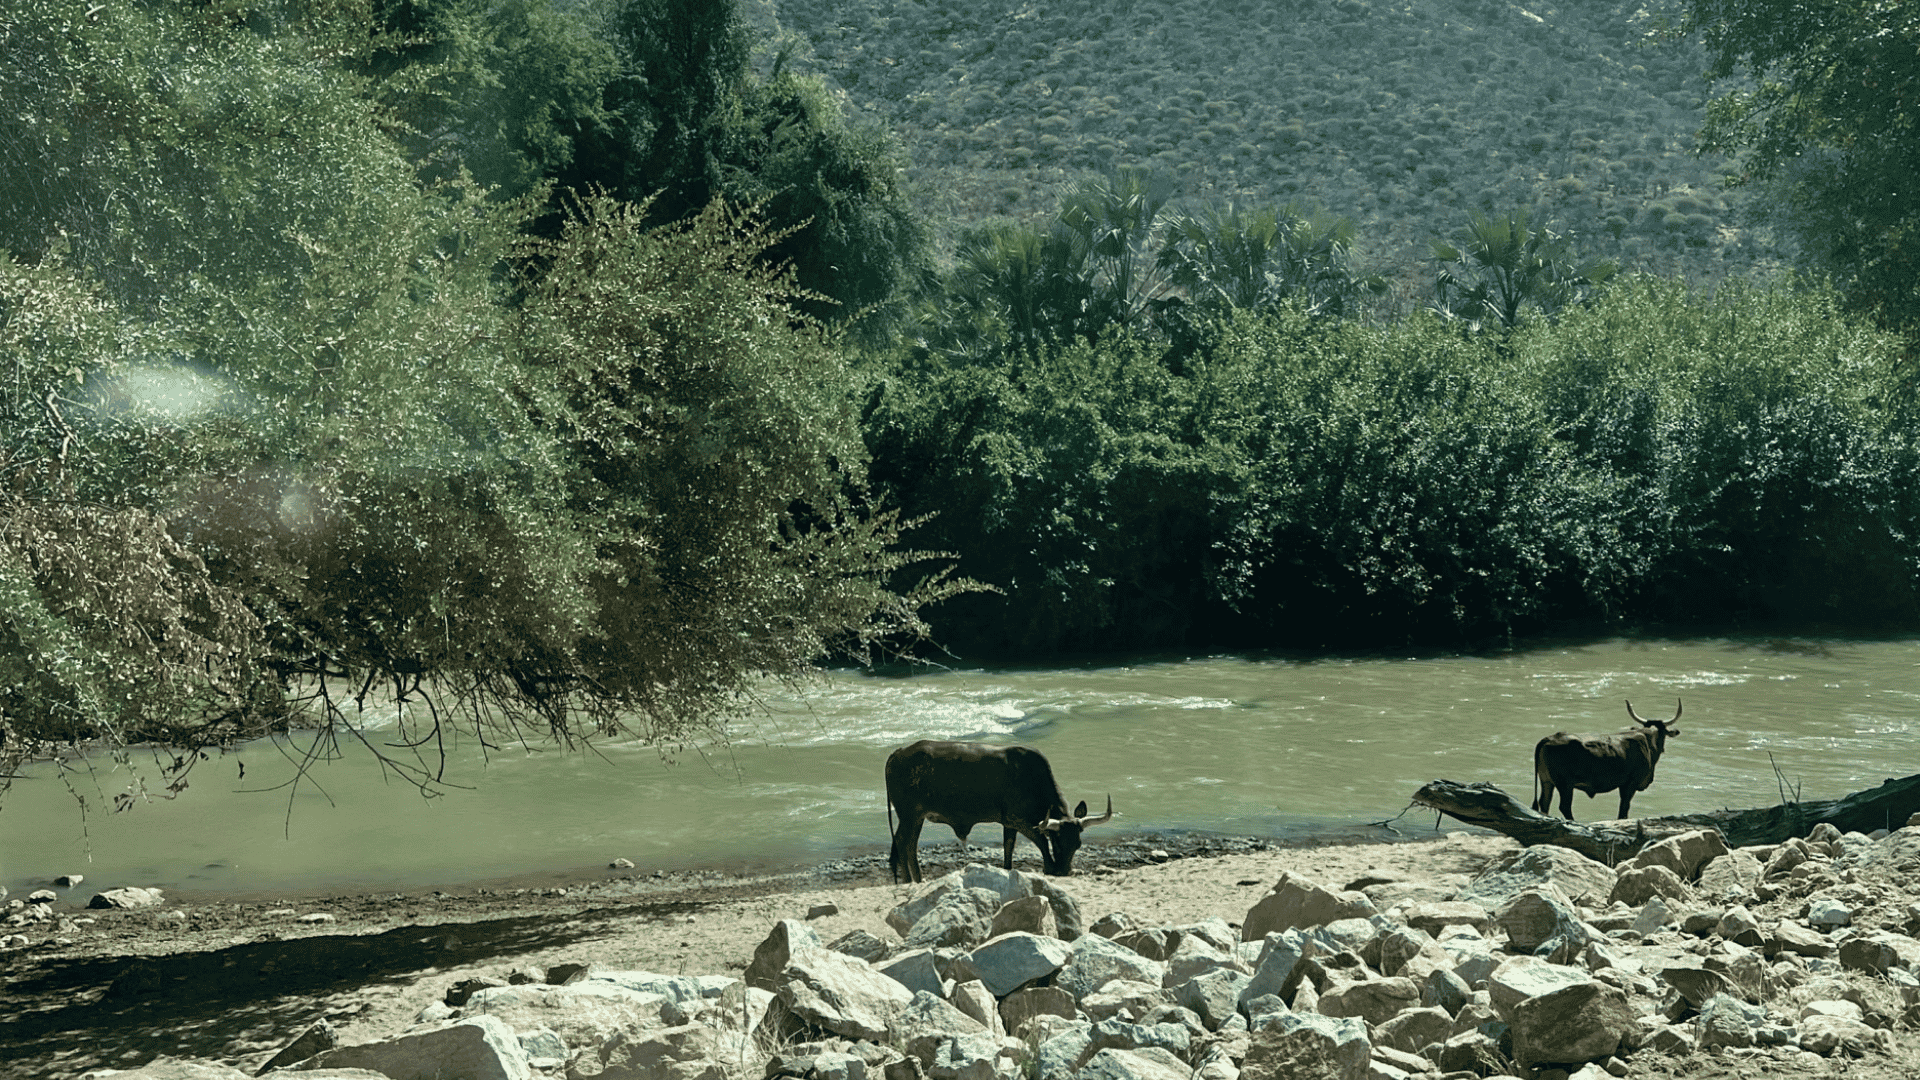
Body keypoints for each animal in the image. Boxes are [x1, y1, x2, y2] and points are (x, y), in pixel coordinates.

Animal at [885, 739, 1112, 884]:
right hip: (908, 815)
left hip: (916, 818)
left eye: (1078, 844)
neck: (1031, 778)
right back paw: (908, 881)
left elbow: (1008, 847)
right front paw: (1050, 867)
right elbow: (1041, 842)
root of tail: (899, 751)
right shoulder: (1018, 820)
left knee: (910, 845)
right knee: (902, 842)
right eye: (1058, 841)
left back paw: (918, 879)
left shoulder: (1009, 823)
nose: (1065, 871)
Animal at [1532, 699, 1682, 821]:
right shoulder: (1630, 783)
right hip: (1565, 784)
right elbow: (1624, 808)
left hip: (1546, 781)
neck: (1648, 741)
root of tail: (1550, 738)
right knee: (1564, 806)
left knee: (1544, 802)